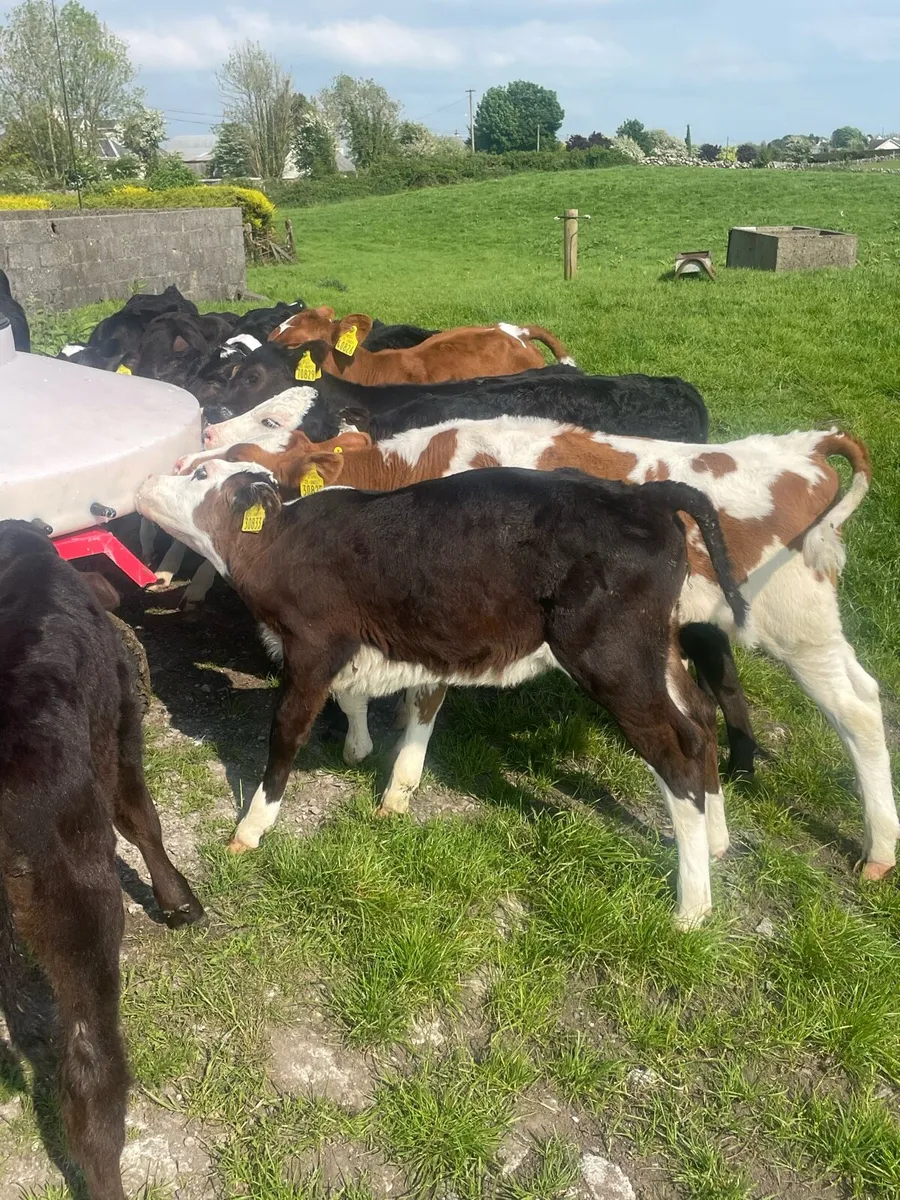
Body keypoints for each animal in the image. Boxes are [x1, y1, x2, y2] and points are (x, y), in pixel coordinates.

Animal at [136, 459, 746, 928]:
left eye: (199, 473)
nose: (146, 479)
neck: (283, 541)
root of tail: (642, 492)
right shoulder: (377, 643)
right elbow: (372, 701)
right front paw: (367, 759)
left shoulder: (311, 644)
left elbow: (287, 732)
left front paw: (252, 827)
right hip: (654, 647)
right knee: (700, 716)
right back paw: (717, 840)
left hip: (611, 655)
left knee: (677, 747)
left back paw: (692, 908)